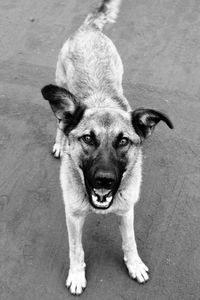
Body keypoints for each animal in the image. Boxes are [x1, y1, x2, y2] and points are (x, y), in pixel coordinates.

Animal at [40, 0, 172, 296]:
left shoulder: (126, 211)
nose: (104, 180)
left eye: (123, 141)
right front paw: (77, 275)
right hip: (61, 86)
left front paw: (134, 265)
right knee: (59, 122)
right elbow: (76, 249)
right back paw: (59, 142)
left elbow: (130, 241)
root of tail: (88, 29)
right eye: (88, 139)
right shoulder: (73, 216)